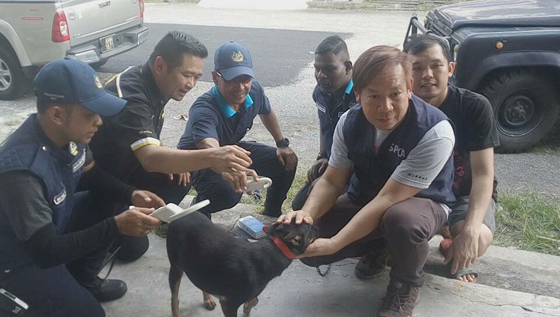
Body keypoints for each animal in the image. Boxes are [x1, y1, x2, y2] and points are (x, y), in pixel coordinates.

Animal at [166, 210, 318, 316]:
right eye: (310, 229)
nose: (317, 227)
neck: (276, 247)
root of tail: (179, 215)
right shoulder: (229, 303)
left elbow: (255, 300)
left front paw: (246, 309)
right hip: (176, 267)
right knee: (174, 299)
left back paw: (207, 299)